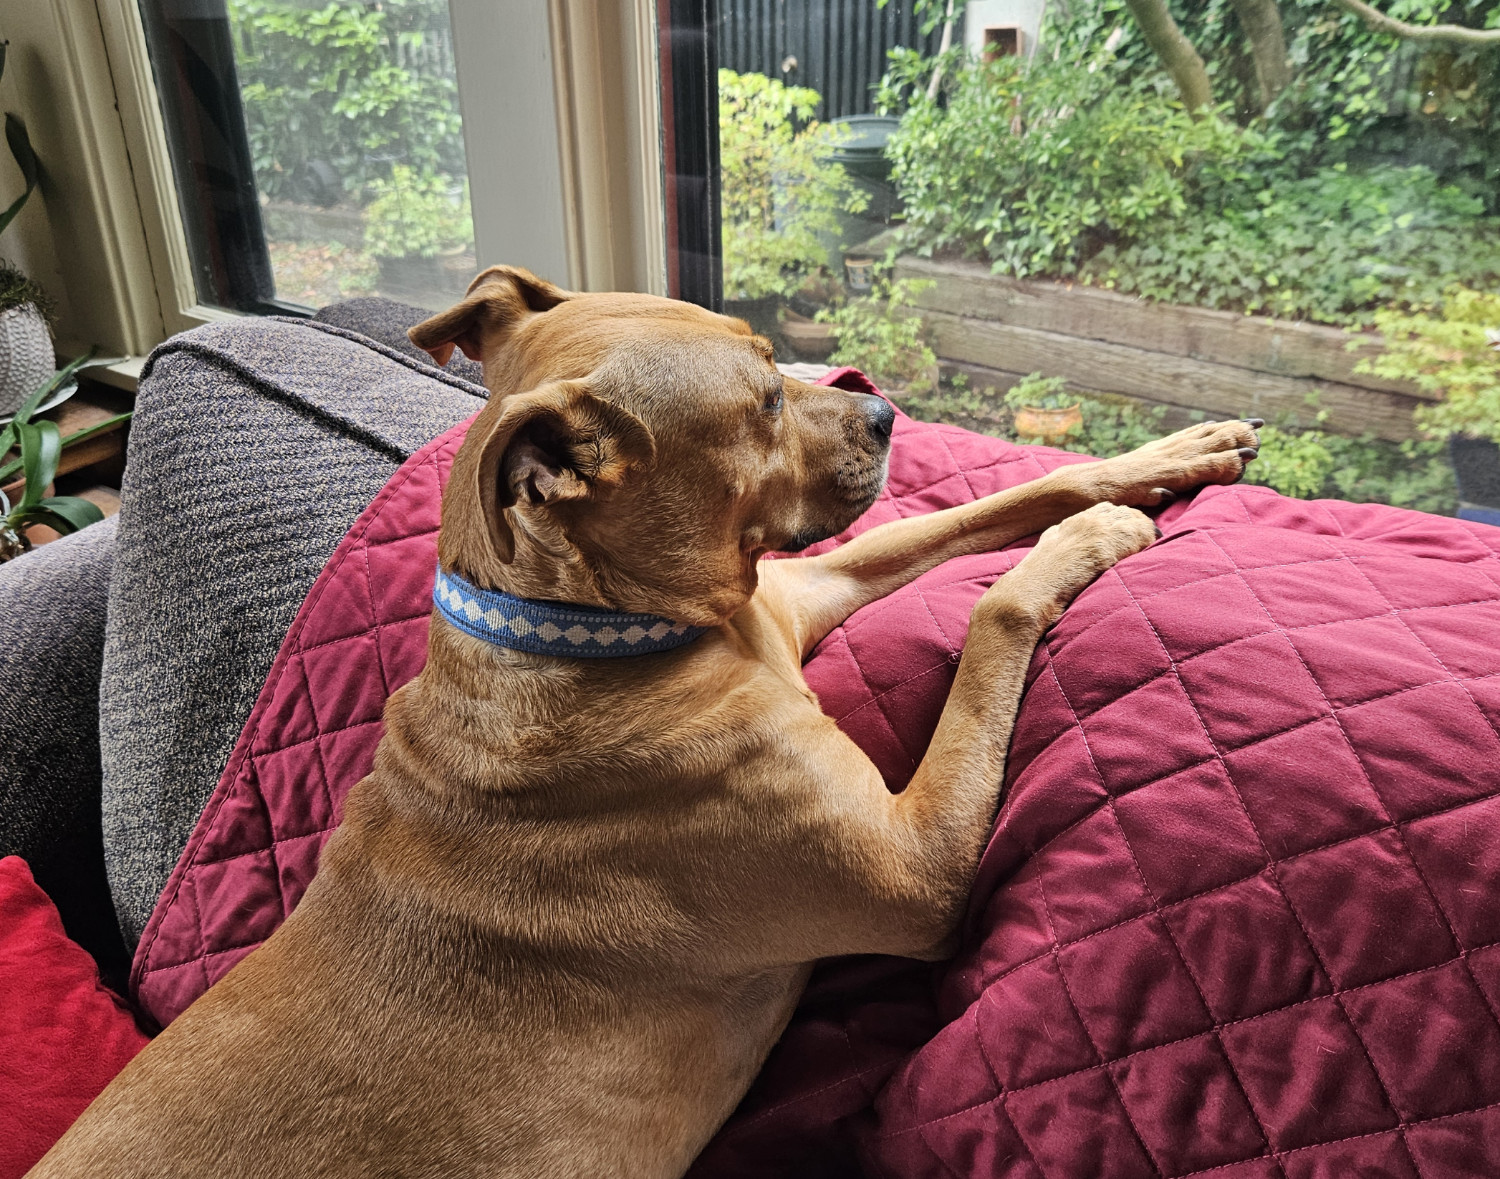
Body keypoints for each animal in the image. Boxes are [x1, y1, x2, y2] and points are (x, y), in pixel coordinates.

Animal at [29, 268, 1260, 1176]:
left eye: (775, 359)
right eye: (763, 402)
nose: (884, 412)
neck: (594, 634)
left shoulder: (795, 594)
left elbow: (987, 508)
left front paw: (1159, 459)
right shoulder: (918, 869)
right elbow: (997, 608)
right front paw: (1090, 540)